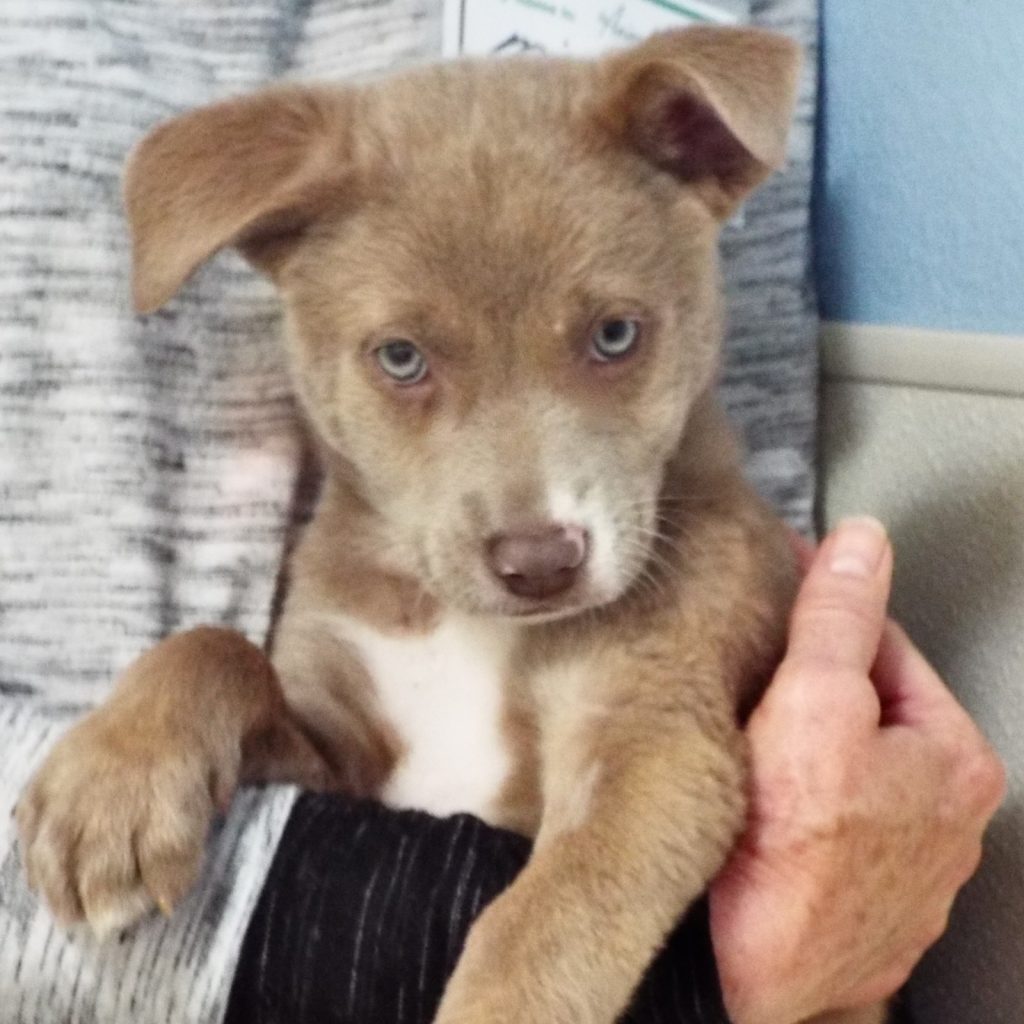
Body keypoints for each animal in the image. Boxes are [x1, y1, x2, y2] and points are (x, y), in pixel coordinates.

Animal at [17, 26, 887, 1024]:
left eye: (616, 335)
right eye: (401, 358)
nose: (541, 563)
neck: (458, 623)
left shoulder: (656, 741)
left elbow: (545, 923)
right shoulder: (343, 758)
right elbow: (214, 647)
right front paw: (110, 788)